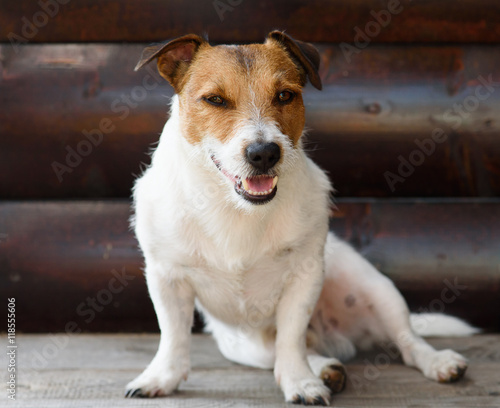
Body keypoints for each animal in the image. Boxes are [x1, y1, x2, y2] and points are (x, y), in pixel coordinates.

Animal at [126, 31, 476, 404]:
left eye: (285, 95)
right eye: (215, 100)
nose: (264, 153)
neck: (235, 208)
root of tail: (333, 336)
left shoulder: (304, 277)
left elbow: (291, 339)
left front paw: (300, 382)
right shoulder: (166, 277)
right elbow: (173, 336)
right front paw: (162, 376)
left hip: (376, 288)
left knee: (406, 340)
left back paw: (436, 361)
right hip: (246, 347)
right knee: (289, 352)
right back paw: (326, 367)